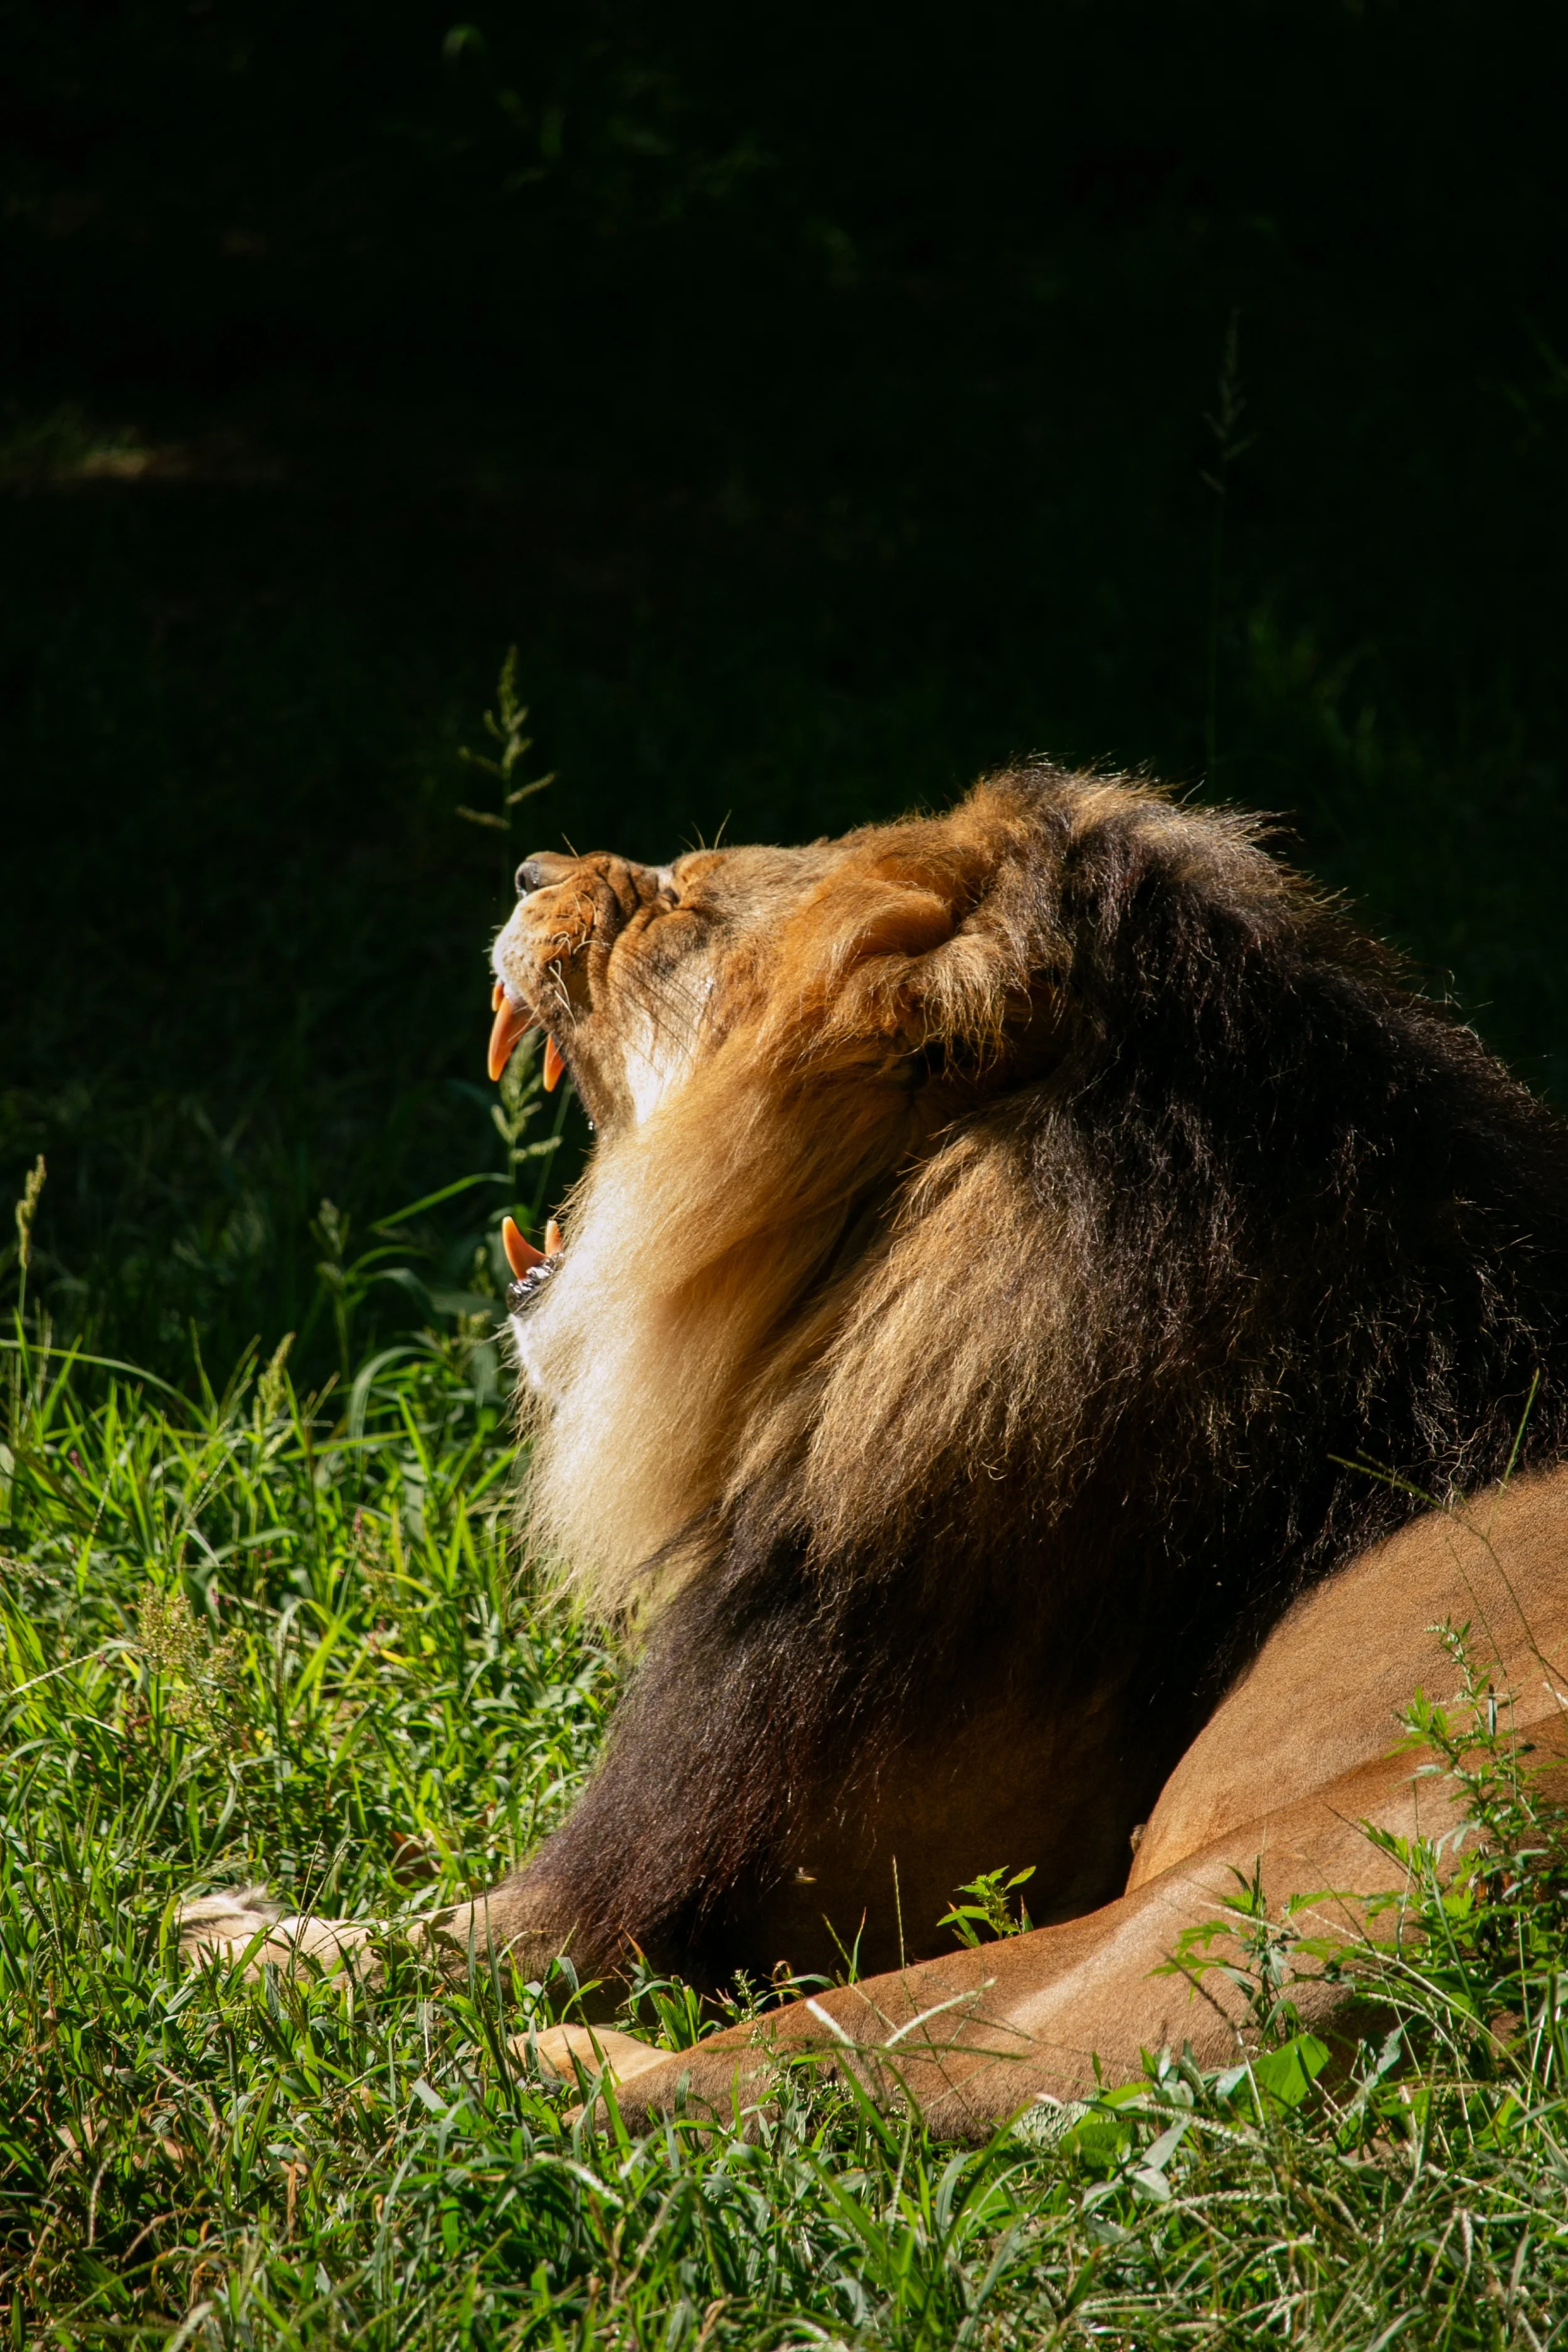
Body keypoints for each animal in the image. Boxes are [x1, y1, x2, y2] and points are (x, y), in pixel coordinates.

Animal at [188, 766, 1568, 2124]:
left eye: (680, 900)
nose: (527, 869)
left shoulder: (657, 1892)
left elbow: (423, 1943)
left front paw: (223, 1934)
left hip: (1181, 1917)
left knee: (760, 2090)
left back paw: (540, 2069)